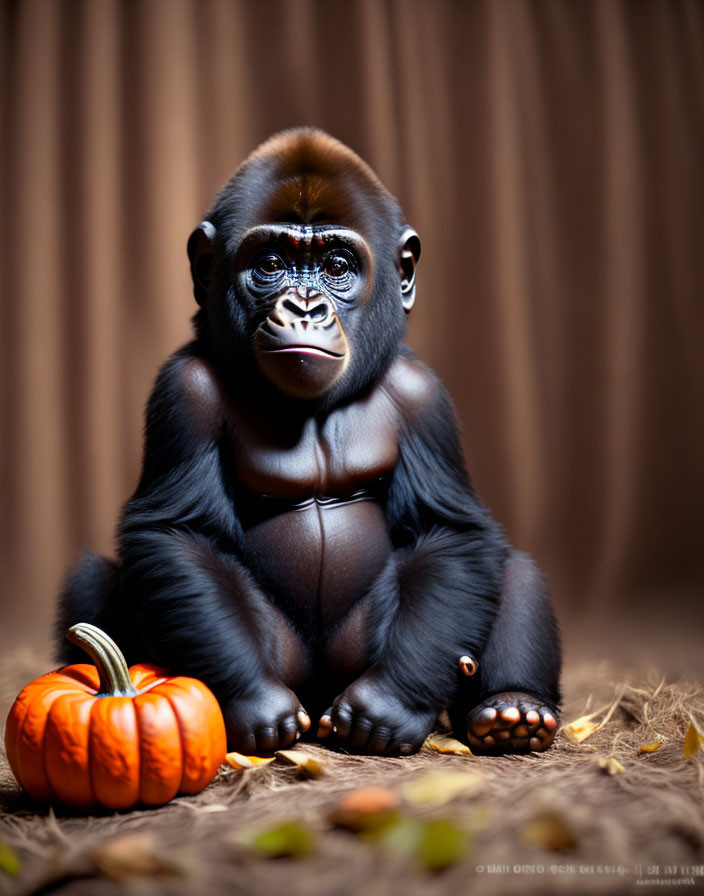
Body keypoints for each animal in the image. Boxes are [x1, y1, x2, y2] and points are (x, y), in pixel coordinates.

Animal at [56, 128, 560, 756]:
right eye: (271, 265)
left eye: (336, 266)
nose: (303, 306)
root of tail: (319, 698)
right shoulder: (184, 390)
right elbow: (177, 532)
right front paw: (252, 700)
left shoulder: (423, 395)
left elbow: (448, 529)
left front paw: (390, 702)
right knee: (99, 578)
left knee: (511, 570)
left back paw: (514, 709)